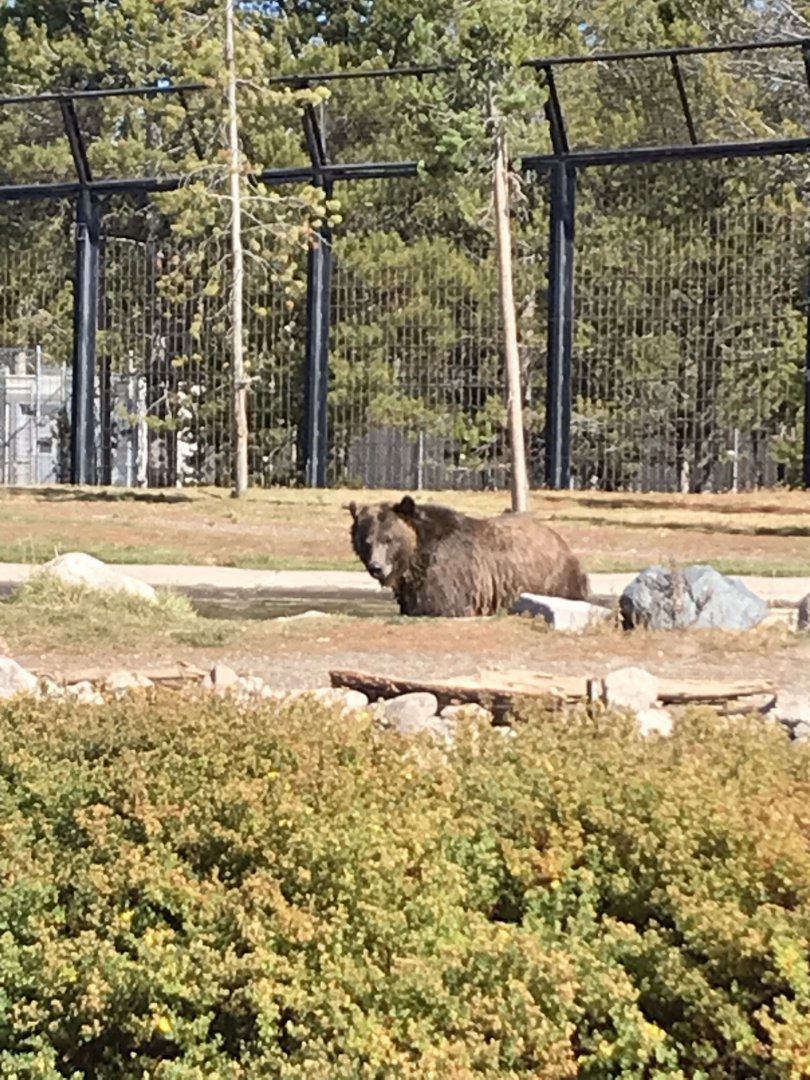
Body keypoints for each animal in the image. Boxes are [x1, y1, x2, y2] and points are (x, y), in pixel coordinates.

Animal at [348, 494, 588, 617]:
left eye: (388, 539)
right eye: (366, 540)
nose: (377, 567)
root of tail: (561, 541)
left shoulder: (451, 577)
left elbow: (444, 606)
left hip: (551, 580)